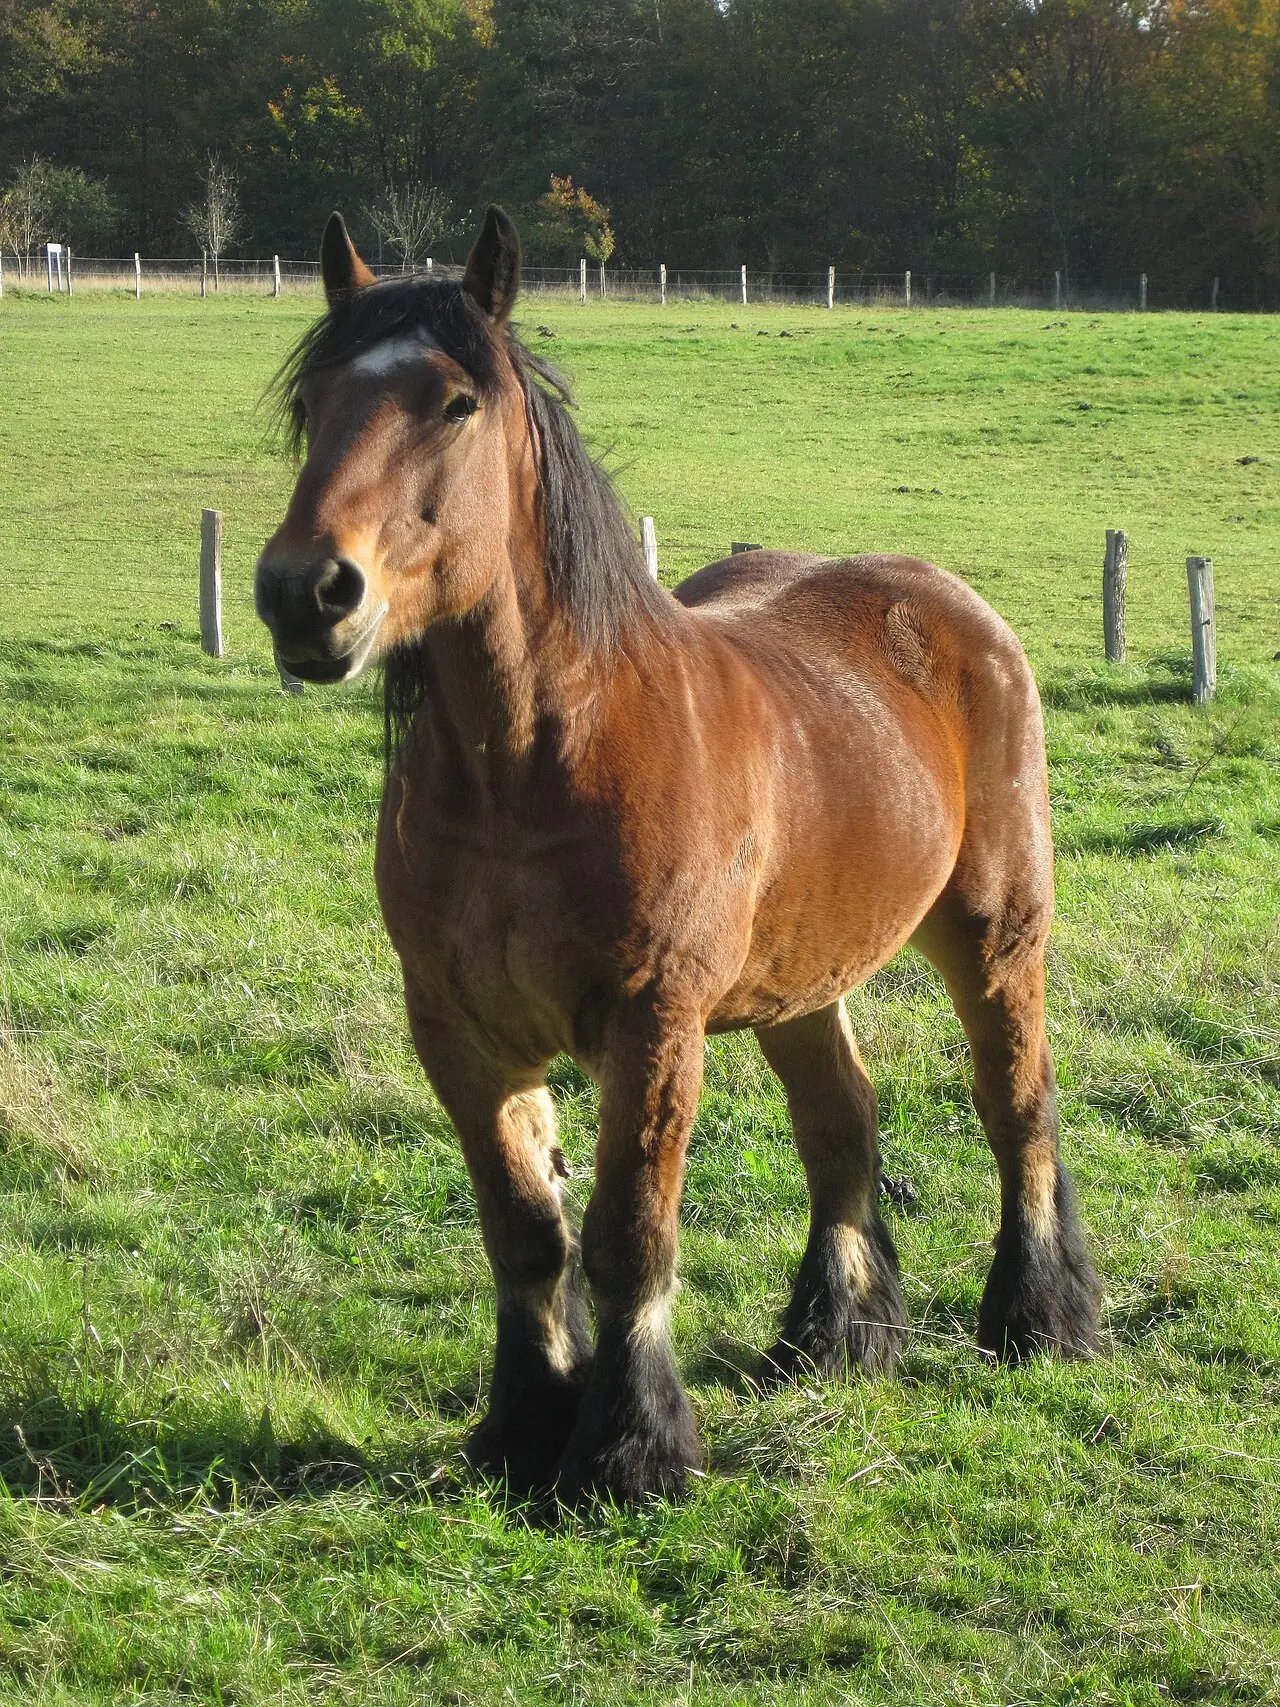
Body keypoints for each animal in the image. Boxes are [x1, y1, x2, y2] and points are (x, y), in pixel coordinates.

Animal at [255, 206, 1102, 1505]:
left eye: (455, 402)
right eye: (313, 402)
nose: (307, 593)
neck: (533, 764)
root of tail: (950, 606)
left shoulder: (652, 1025)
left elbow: (625, 1233)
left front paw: (629, 1447)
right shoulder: (459, 1030)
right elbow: (523, 1230)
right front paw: (522, 1426)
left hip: (997, 936)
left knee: (1015, 1106)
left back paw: (1036, 1317)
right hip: (804, 979)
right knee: (841, 1123)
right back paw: (833, 1337)